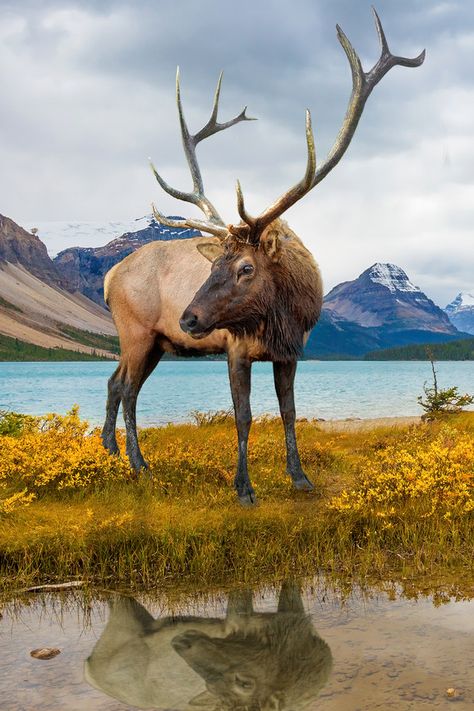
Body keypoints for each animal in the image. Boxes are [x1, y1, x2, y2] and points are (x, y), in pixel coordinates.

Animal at [102, 8, 424, 504]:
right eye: (214, 264)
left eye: (245, 267)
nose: (190, 318)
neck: (284, 310)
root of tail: (107, 277)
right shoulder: (236, 347)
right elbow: (244, 416)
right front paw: (243, 487)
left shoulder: (291, 350)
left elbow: (289, 412)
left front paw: (300, 476)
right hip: (135, 330)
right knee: (126, 387)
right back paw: (139, 464)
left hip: (153, 341)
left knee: (116, 383)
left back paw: (113, 455)